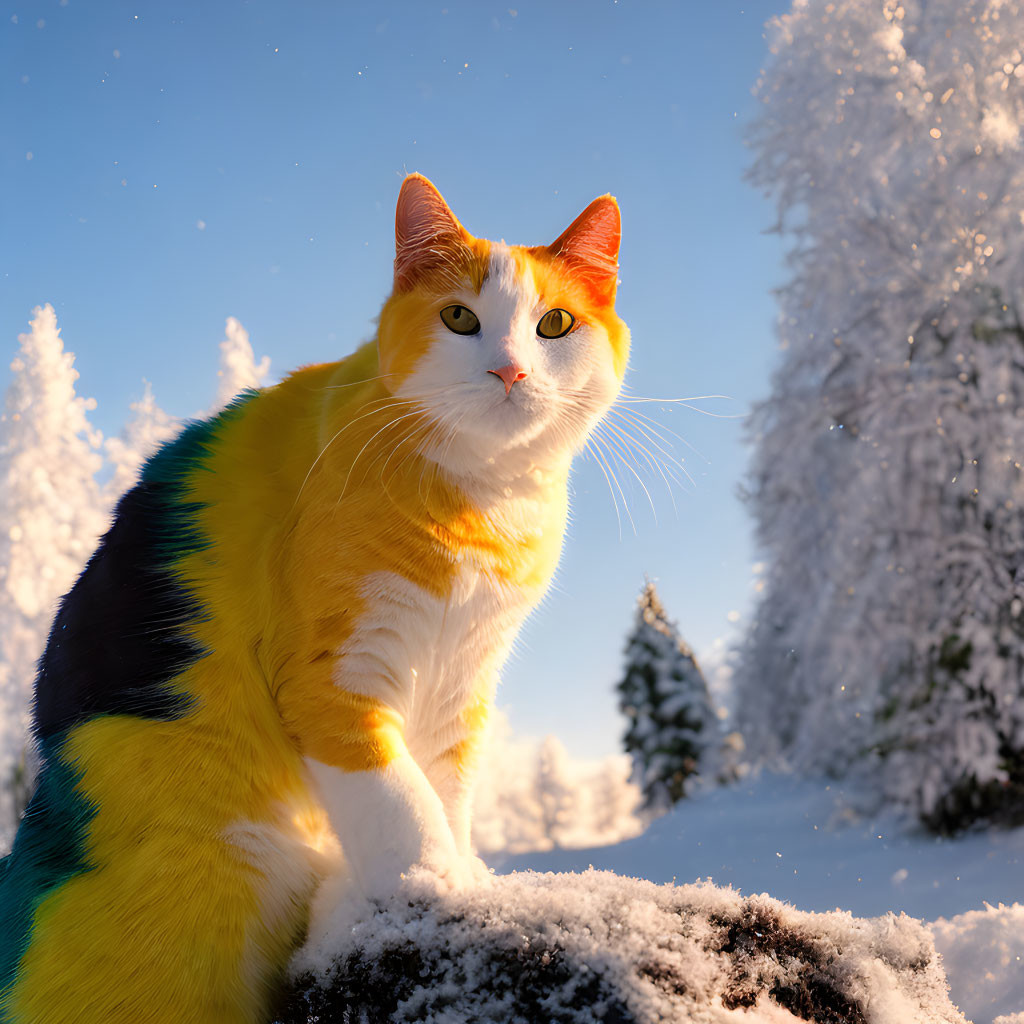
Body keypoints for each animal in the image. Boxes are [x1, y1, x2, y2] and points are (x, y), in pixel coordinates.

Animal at [0, 176, 626, 1024]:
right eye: (460, 318)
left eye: (554, 324)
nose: (510, 373)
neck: (486, 502)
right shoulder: (335, 677)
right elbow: (401, 804)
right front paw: (432, 888)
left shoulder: (461, 681)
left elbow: (447, 792)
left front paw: (464, 876)